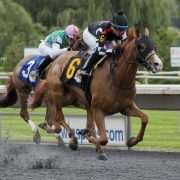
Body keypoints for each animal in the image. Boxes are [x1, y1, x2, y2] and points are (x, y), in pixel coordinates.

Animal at [31, 26, 163, 159]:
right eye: (141, 46)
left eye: (154, 45)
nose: (158, 64)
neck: (117, 79)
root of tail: (55, 61)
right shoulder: (98, 109)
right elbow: (103, 138)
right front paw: (87, 136)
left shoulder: (126, 107)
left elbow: (145, 118)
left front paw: (131, 141)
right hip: (57, 93)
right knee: (59, 117)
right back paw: (71, 138)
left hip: (70, 98)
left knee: (55, 117)